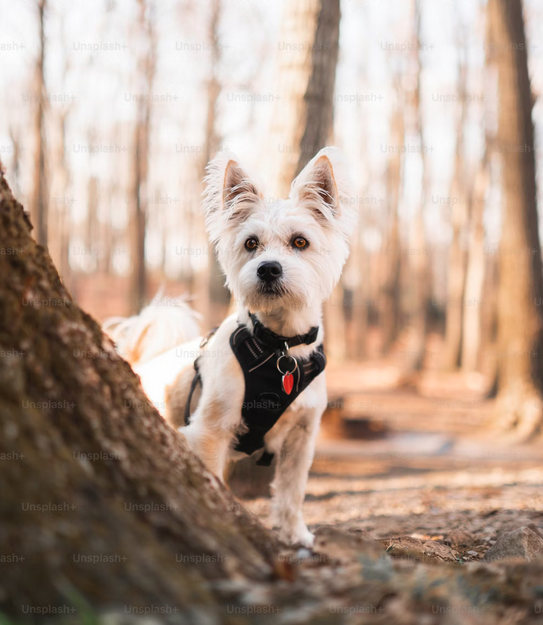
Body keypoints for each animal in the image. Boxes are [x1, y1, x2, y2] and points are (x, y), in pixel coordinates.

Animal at [108, 147, 360, 544]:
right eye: (251, 243)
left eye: (300, 241)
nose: (268, 269)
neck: (279, 346)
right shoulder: (210, 432)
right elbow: (214, 481)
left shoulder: (302, 438)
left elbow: (292, 491)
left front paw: (296, 534)